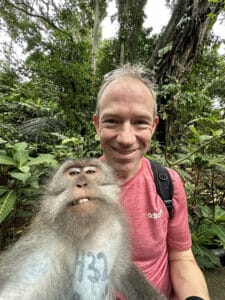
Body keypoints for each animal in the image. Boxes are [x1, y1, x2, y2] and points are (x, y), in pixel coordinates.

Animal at [0, 158, 165, 298]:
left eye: (90, 172)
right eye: (73, 173)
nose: (82, 183)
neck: (79, 232)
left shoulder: (111, 231)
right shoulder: (41, 249)